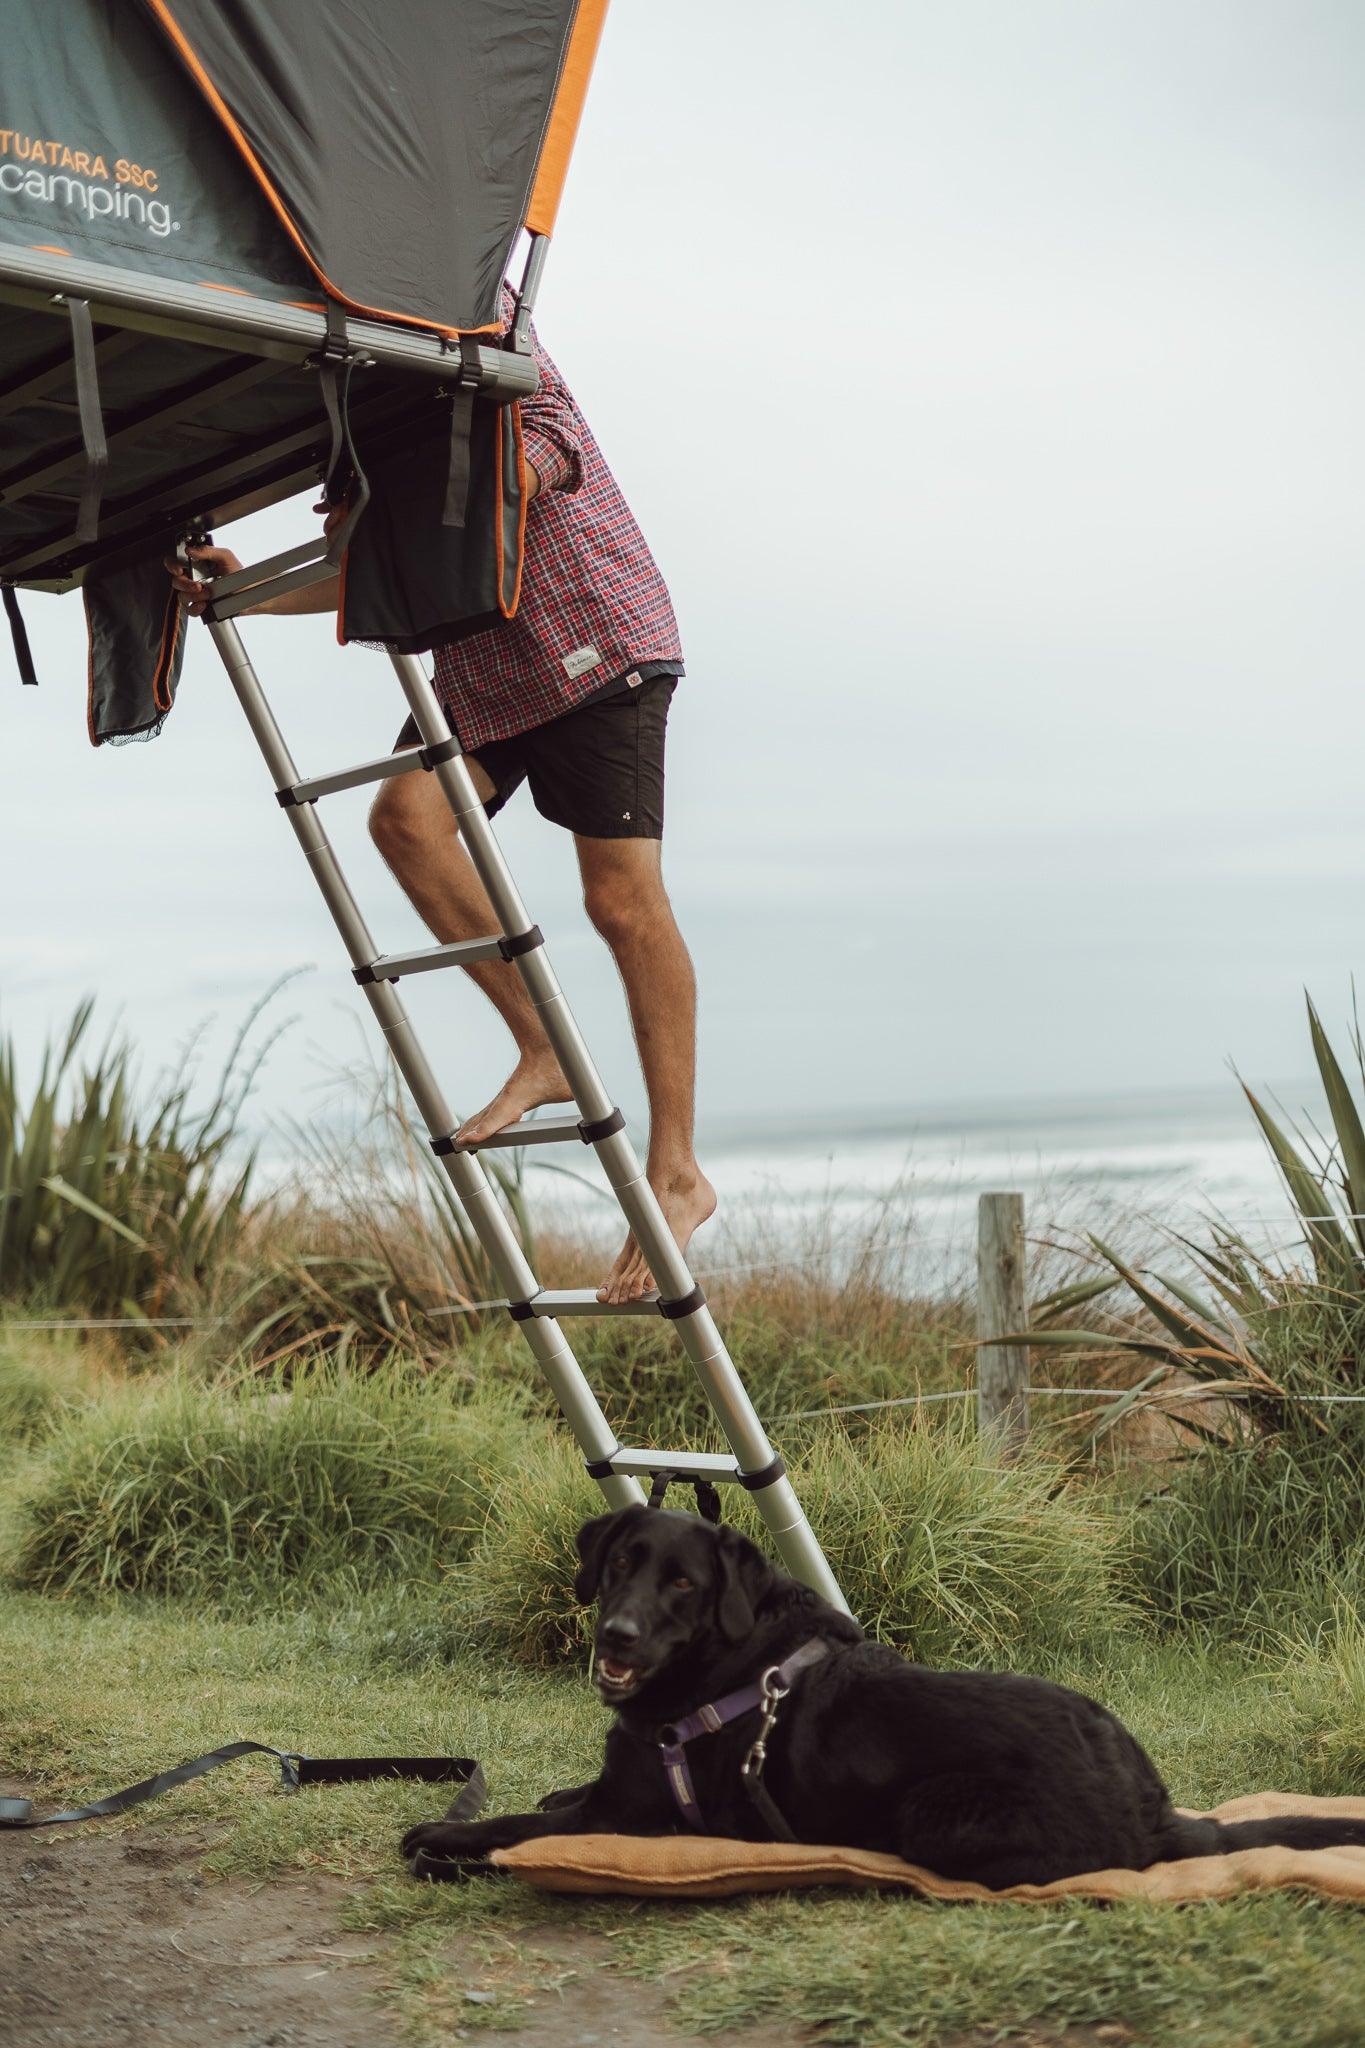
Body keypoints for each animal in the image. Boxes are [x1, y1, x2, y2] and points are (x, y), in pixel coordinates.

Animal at [403, 1507, 1365, 1884]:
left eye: (682, 1585)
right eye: (619, 1566)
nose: (617, 1636)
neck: (722, 1668)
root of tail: (1156, 1809)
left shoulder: (639, 1820)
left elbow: (517, 1828)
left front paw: (441, 1839)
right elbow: (554, 1798)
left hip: (938, 1813)